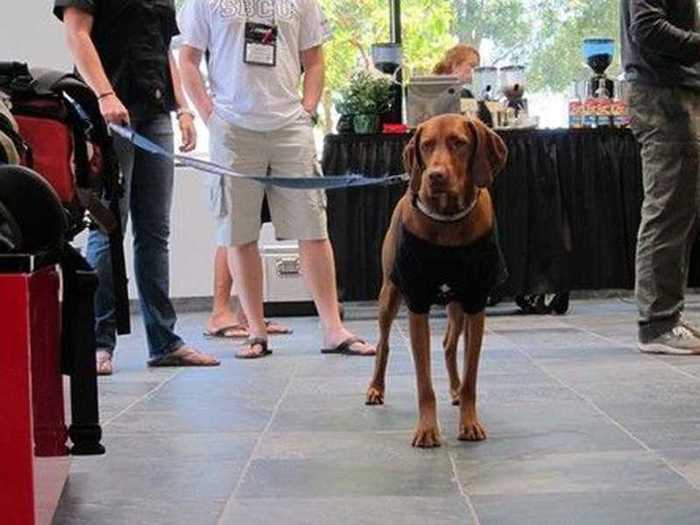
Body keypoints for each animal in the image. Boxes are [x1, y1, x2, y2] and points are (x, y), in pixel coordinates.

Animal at [364, 113, 506, 446]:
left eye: (459, 142)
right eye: (426, 145)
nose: (435, 176)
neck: (449, 220)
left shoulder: (475, 302)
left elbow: (471, 376)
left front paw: (469, 421)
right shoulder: (416, 301)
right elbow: (424, 382)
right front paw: (427, 429)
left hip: (456, 304)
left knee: (449, 344)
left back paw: (454, 388)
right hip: (389, 294)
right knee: (383, 343)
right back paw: (376, 388)